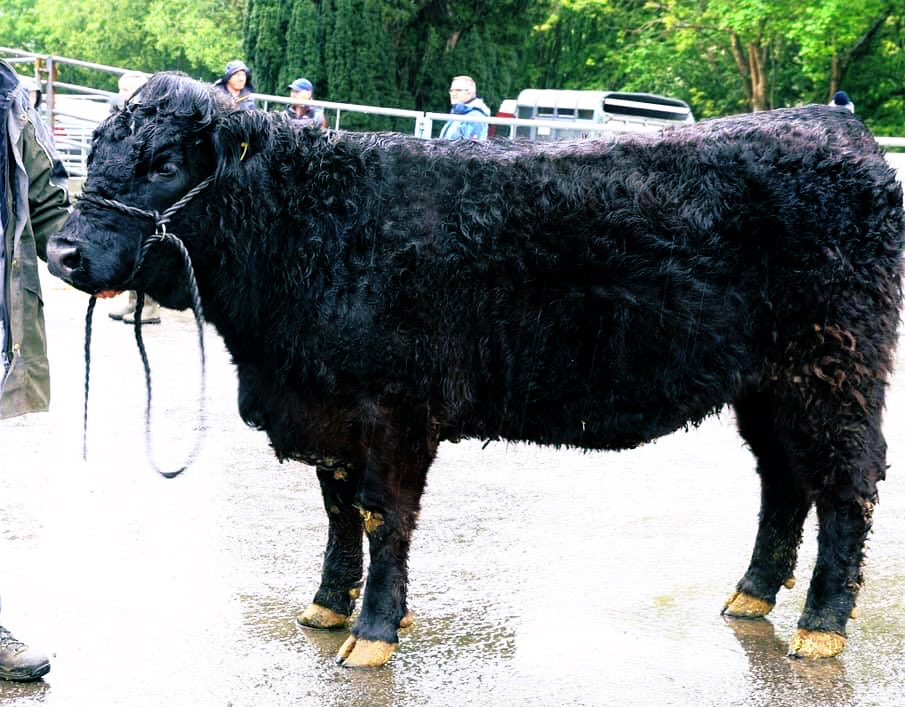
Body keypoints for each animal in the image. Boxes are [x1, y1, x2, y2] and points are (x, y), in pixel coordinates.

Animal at [46, 72, 904, 668]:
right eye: (97, 151)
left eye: (163, 163)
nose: (63, 252)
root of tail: (834, 127)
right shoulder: (328, 411)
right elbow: (336, 513)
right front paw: (326, 605)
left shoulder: (393, 412)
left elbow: (383, 516)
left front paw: (372, 632)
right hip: (766, 387)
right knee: (783, 481)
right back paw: (750, 595)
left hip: (833, 370)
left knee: (846, 484)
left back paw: (820, 626)